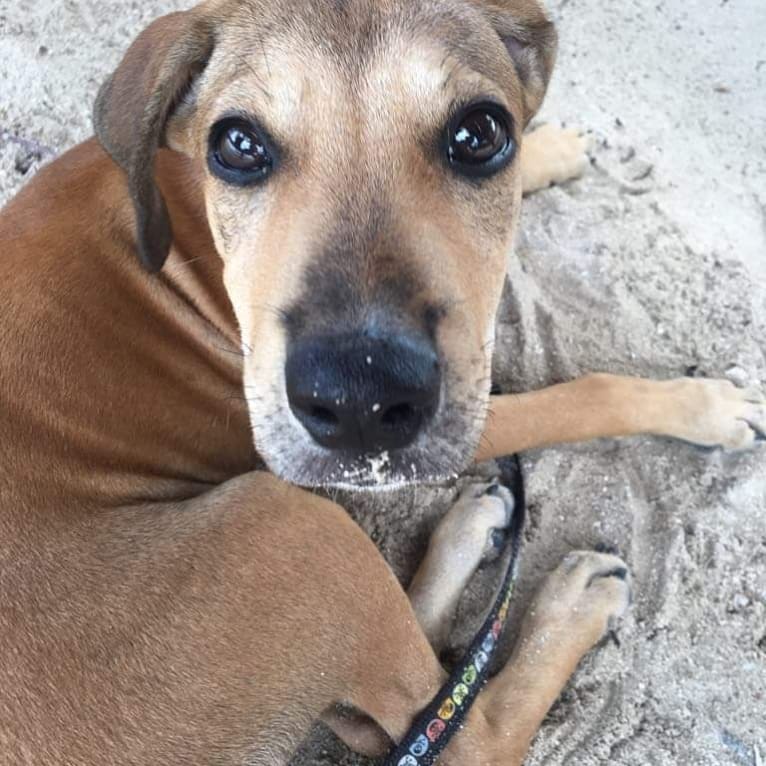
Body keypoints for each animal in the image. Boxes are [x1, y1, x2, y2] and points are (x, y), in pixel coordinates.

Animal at [1, 0, 766, 764]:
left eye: (480, 134)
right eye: (238, 145)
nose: (360, 399)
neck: (186, 208)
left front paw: (549, 148)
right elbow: (586, 396)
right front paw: (701, 406)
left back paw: (470, 525)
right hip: (289, 525)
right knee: (468, 733)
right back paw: (571, 605)